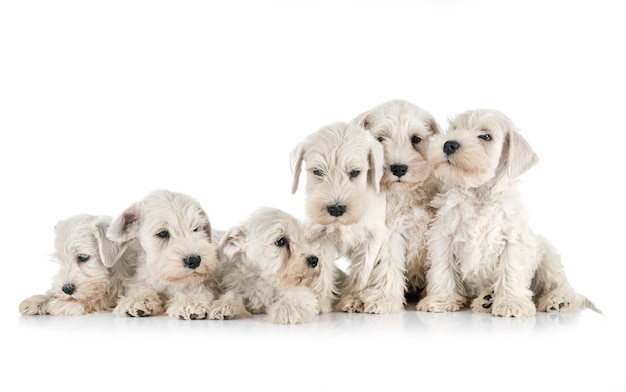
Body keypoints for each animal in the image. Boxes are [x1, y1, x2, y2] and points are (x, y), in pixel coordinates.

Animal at [108, 188, 221, 320]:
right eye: (162, 233)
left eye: (195, 228)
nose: (194, 260)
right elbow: (141, 287)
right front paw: (138, 300)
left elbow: (196, 288)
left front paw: (191, 302)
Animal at [292, 121, 388, 310]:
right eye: (318, 172)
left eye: (355, 172)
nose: (336, 209)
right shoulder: (320, 237)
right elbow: (322, 271)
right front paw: (319, 302)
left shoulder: (372, 237)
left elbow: (361, 272)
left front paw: (352, 298)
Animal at [348, 99, 442, 314]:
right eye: (380, 139)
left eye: (416, 139)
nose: (399, 168)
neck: (406, 192)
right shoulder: (390, 234)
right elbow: (388, 266)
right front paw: (385, 299)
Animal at [414, 108, 596, 316]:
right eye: (454, 128)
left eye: (486, 136)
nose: (448, 144)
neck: (479, 193)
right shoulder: (444, 237)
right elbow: (443, 270)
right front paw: (440, 300)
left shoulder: (513, 240)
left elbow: (511, 270)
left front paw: (511, 303)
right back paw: (486, 300)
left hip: (547, 257)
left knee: (564, 287)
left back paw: (558, 300)